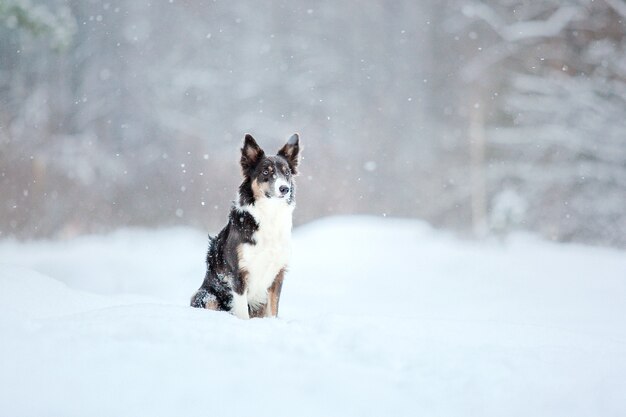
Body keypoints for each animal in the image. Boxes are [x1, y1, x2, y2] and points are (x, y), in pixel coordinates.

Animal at [189, 133, 298, 318]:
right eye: (266, 171)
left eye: (287, 172)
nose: (284, 188)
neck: (269, 214)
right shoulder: (239, 273)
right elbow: (242, 313)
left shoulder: (277, 274)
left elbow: (273, 311)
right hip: (205, 295)